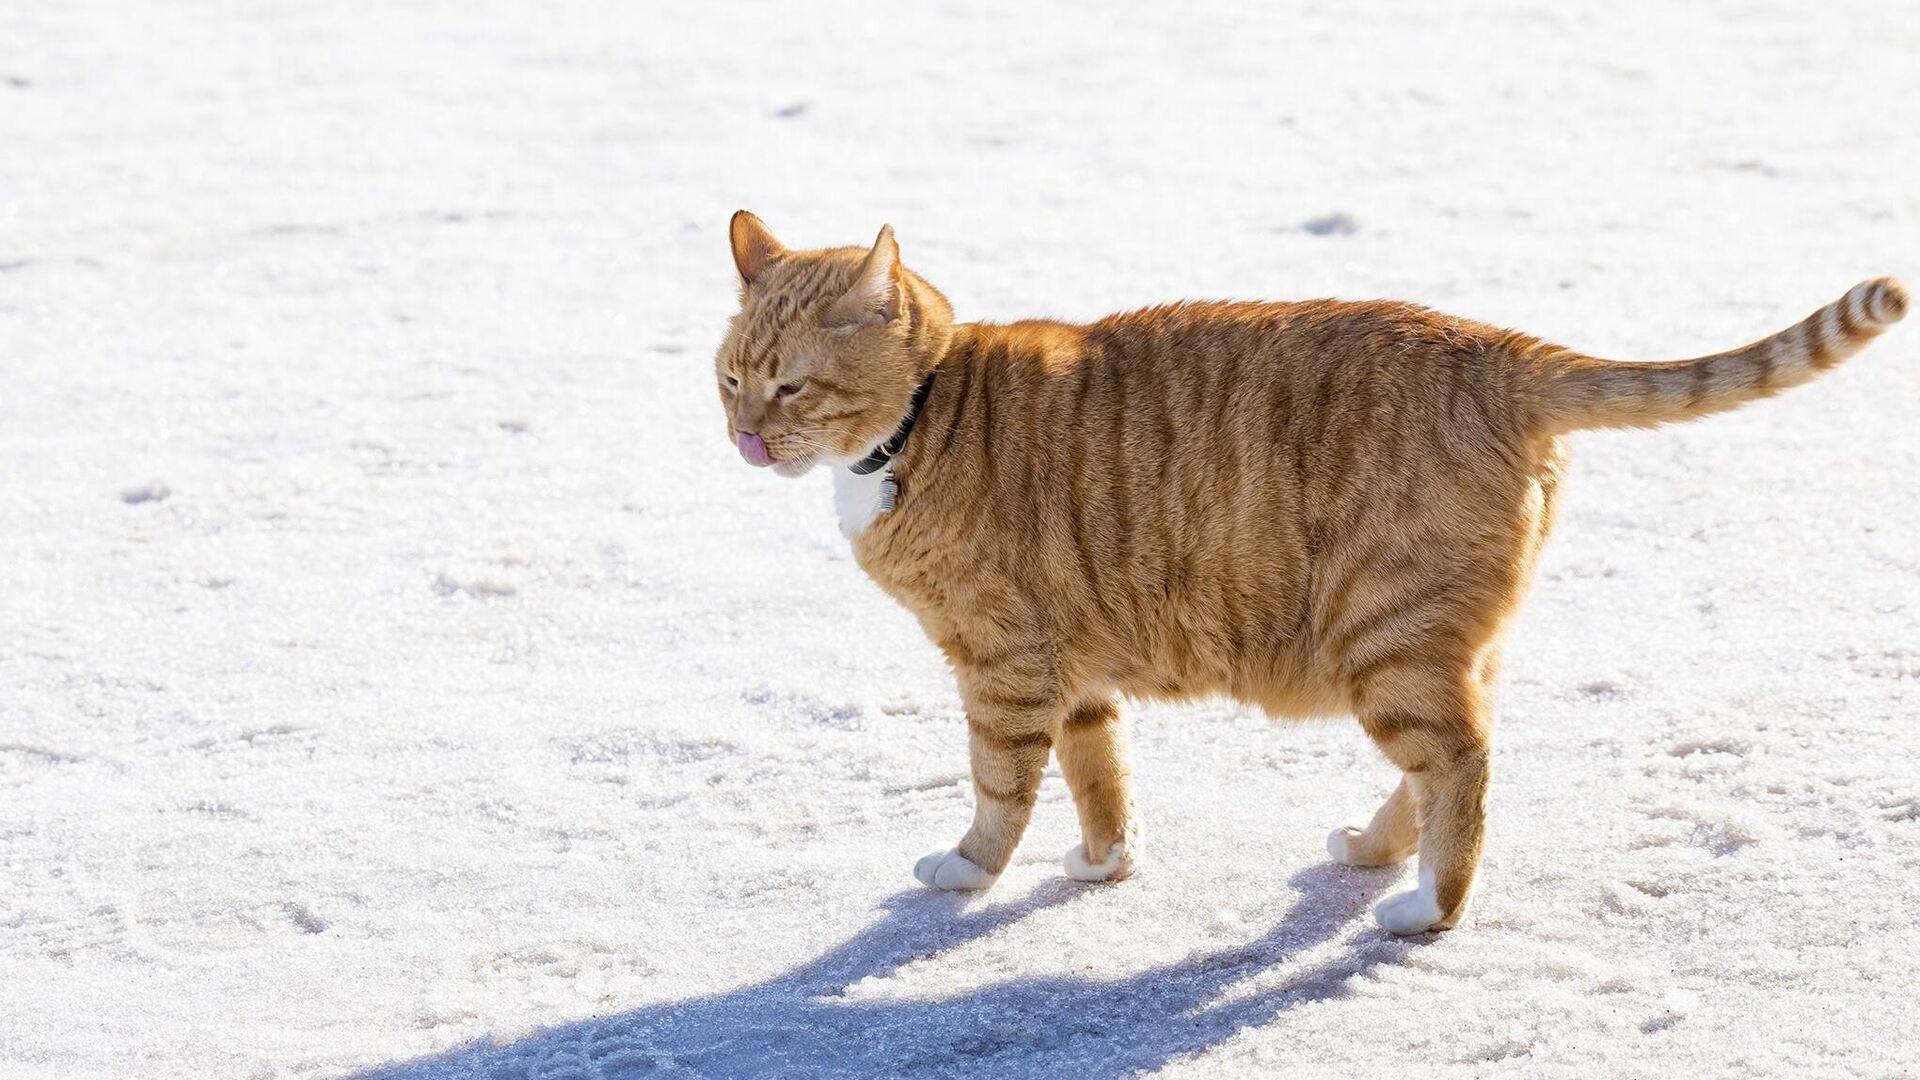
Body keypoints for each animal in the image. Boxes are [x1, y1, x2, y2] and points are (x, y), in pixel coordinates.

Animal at [718, 208, 1904, 926]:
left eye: (791, 387)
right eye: (730, 378)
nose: (743, 440)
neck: (924, 419)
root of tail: (1505, 351)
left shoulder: (1004, 666)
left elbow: (1002, 786)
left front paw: (968, 870)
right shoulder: (1076, 670)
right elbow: (1100, 774)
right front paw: (1106, 863)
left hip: (1380, 635)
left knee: (1462, 763)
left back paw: (1427, 908)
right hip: (1439, 640)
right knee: (1445, 756)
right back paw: (1378, 852)